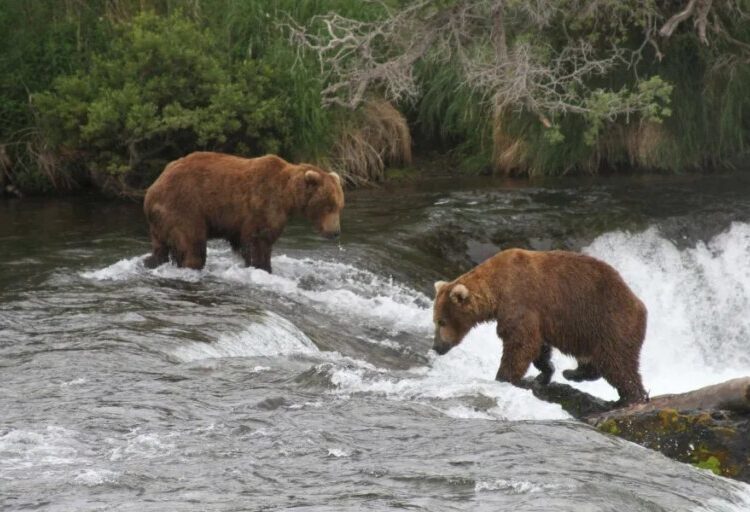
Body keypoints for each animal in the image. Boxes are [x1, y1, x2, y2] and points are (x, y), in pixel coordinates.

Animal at [143, 152, 344, 273]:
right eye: (328, 206)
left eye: (339, 206)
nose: (335, 232)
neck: (288, 196)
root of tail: (151, 190)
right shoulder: (263, 204)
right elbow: (257, 241)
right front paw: (261, 267)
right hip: (184, 207)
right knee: (192, 246)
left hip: (160, 222)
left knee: (160, 249)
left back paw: (150, 262)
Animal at [432, 248, 649, 405]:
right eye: (435, 320)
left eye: (441, 321)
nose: (436, 347)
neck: (497, 290)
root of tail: (640, 305)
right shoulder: (536, 317)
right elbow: (538, 346)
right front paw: (544, 373)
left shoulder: (519, 301)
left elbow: (521, 343)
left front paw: (503, 377)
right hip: (588, 333)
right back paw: (573, 373)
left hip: (609, 322)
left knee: (617, 363)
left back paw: (630, 398)